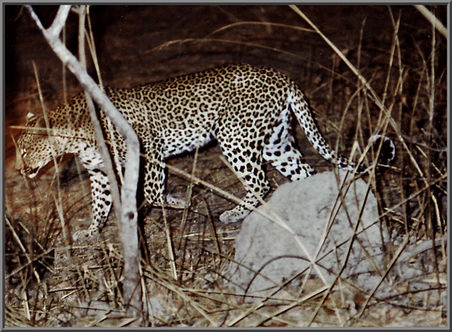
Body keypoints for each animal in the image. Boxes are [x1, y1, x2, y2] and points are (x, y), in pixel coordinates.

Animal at [15, 63, 396, 241]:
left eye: (25, 149)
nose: (18, 170)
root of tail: (281, 76)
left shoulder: (147, 145)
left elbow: (152, 190)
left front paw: (178, 202)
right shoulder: (99, 172)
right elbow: (99, 204)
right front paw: (91, 231)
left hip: (234, 137)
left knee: (261, 183)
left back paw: (235, 213)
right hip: (275, 141)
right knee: (302, 173)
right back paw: (311, 208)